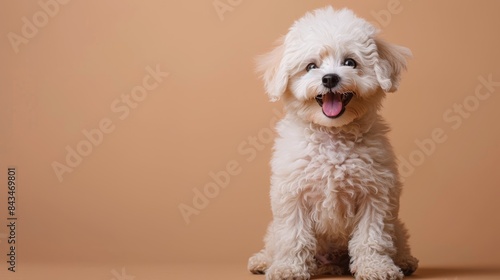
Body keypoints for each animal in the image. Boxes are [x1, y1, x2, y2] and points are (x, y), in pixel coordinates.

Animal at [249, 6, 418, 280]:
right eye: (311, 66)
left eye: (350, 62)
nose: (329, 78)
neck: (332, 136)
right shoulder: (292, 194)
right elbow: (293, 236)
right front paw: (288, 268)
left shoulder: (376, 194)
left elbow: (372, 237)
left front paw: (376, 267)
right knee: (274, 242)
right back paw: (263, 260)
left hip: (397, 227)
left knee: (398, 239)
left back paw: (404, 260)